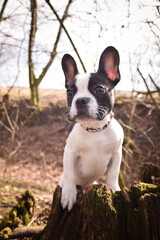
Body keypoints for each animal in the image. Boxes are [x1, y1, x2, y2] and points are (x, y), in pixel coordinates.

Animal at [58, 46, 124, 211]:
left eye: (99, 90)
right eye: (70, 93)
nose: (81, 100)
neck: (95, 129)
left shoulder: (116, 153)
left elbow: (113, 173)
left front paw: (114, 189)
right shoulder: (70, 152)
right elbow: (69, 174)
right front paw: (69, 195)